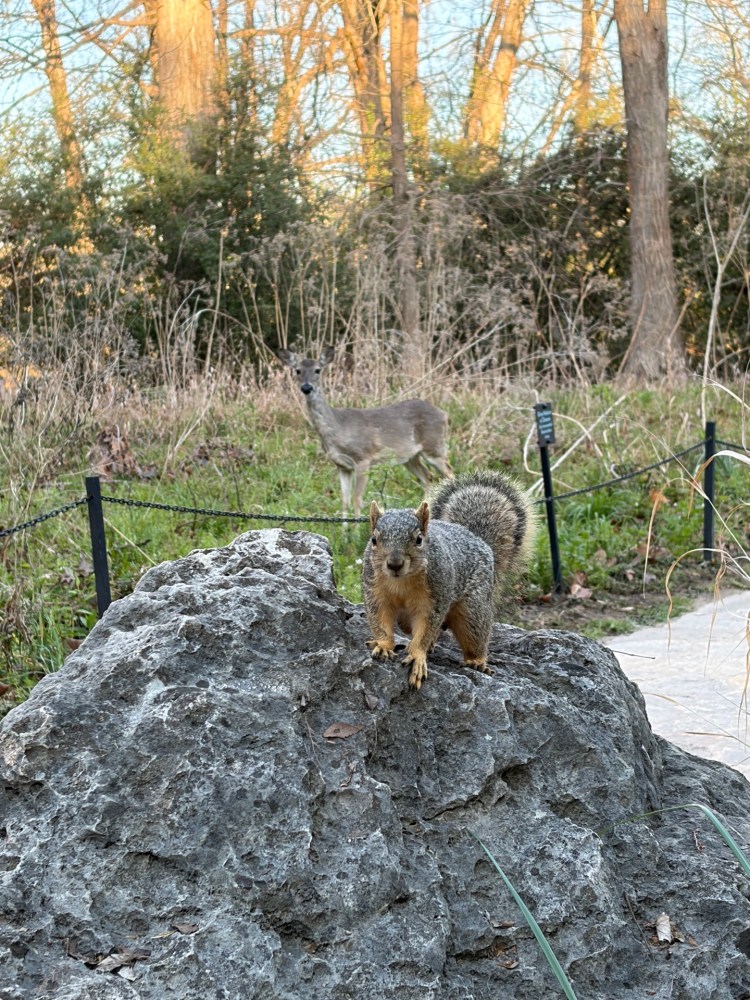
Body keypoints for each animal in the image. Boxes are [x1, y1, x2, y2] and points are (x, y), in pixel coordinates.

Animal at [275, 346, 453, 517]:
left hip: (435, 447)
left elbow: (357, 499)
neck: (337, 430)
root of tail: (444, 414)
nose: (306, 387)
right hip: (410, 456)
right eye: (298, 370)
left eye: (318, 370)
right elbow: (344, 501)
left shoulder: (363, 458)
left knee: (450, 474)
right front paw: (345, 527)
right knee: (427, 477)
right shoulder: (342, 465)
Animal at [362, 470, 536, 690]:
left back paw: (476, 661)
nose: (394, 564)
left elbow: (426, 630)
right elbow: (380, 621)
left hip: (473, 607)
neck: (402, 581)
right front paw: (384, 645)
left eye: (419, 539)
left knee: (474, 634)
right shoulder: (375, 591)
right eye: (374, 539)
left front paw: (417, 656)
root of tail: (480, 541)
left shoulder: (436, 598)